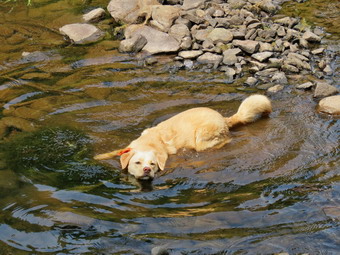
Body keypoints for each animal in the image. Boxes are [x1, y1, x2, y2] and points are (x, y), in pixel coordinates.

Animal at [94, 94, 272, 180]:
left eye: (152, 164)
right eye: (137, 162)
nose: (146, 170)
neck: (148, 144)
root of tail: (223, 118)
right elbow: (115, 152)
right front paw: (99, 156)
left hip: (203, 137)